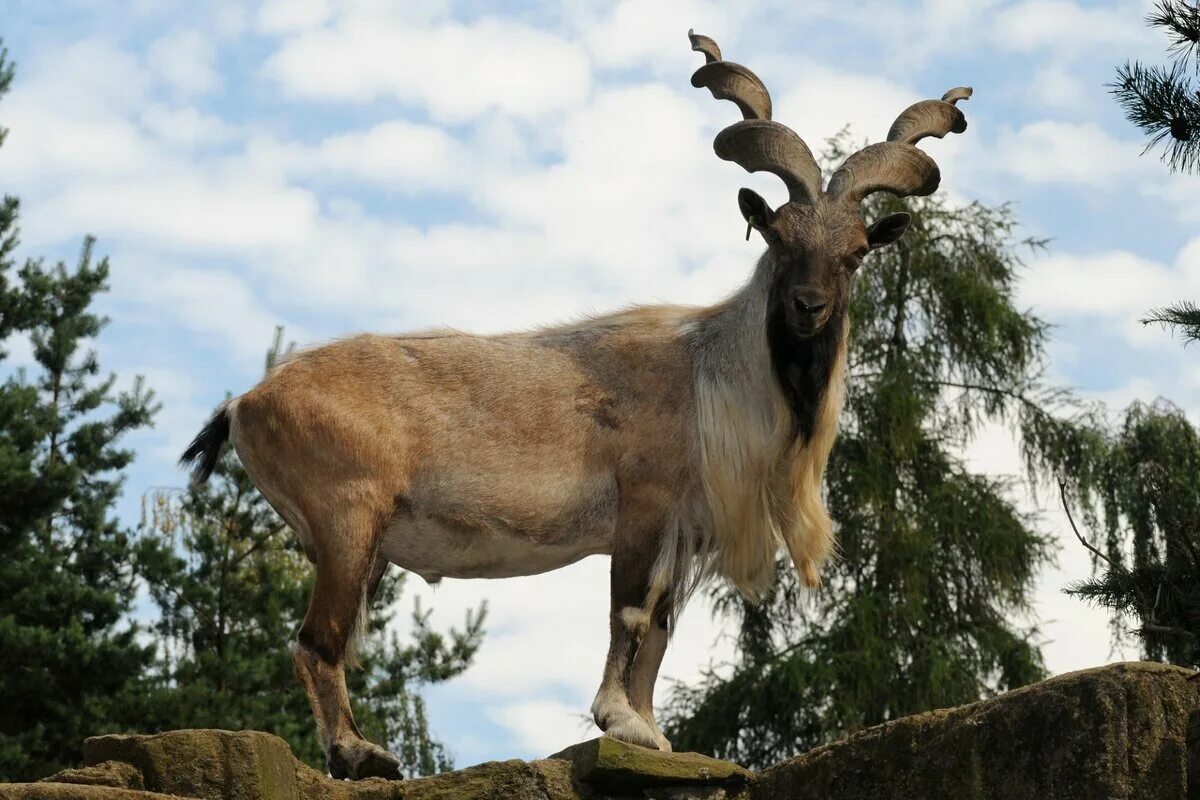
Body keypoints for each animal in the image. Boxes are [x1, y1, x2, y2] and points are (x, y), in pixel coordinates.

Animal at [184, 32, 974, 782]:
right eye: (778, 237)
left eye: (855, 252)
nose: (809, 307)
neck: (709, 375)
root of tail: (247, 401)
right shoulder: (642, 508)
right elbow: (629, 613)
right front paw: (620, 721)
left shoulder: (679, 534)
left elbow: (659, 628)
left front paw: (653, 732)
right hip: (348, 522)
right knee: (318, 640)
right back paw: (359, 755)